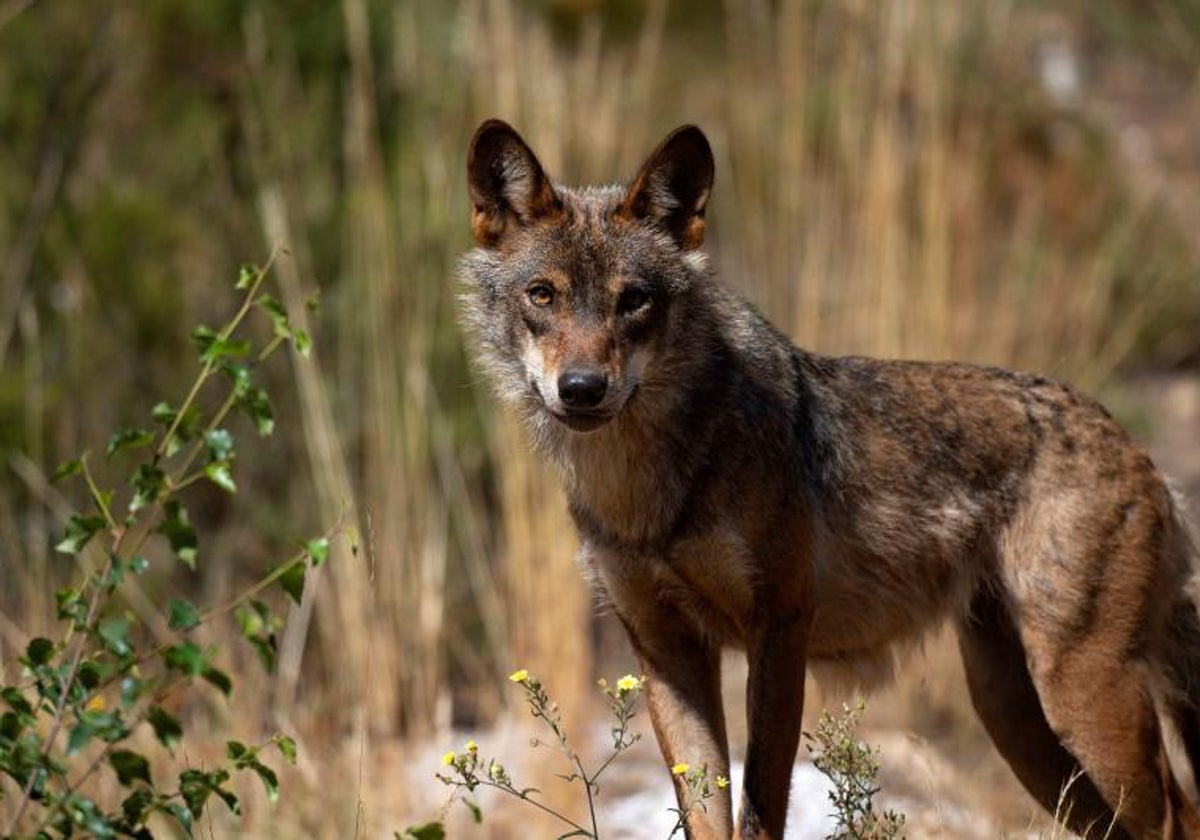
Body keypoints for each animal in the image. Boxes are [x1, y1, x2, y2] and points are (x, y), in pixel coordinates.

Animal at [456, 120, 1200, 840]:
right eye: (542, 295)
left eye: (634, 300)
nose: (582, 389)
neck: (649, 490)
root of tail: (1140, 450)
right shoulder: (665, 649)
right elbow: (706, 816)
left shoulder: (781, 627)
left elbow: (759, 812)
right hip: (1017, 723)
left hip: (1080, 701)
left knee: (1178, 815)